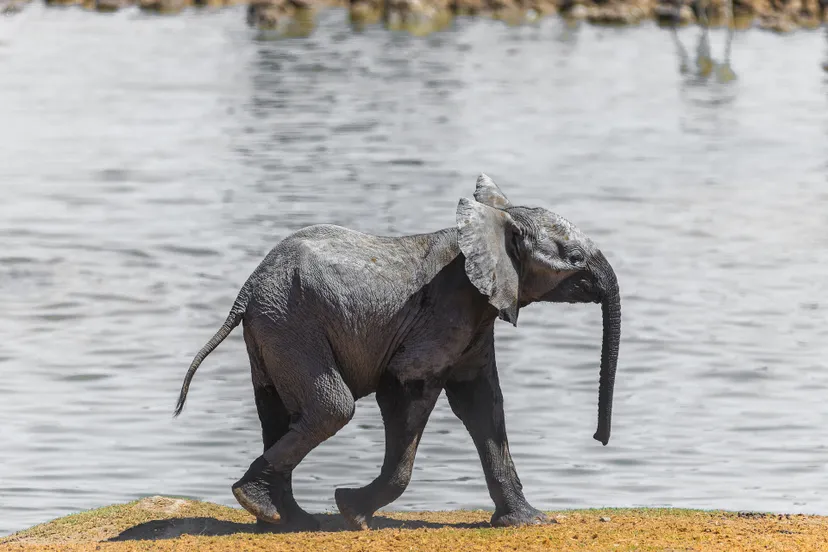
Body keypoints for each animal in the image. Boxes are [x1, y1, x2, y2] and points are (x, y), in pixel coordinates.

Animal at [174, 174, 621, 531]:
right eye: (574, 259)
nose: (599, 439)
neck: (491, 223)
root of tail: (248, 288)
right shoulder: (446, 310)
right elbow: (405, 391)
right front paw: (351, 511)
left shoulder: (476, 319)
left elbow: (481, 403)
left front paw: (529, 522)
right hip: (291, 321)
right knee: (332, 408)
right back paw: (265, 505)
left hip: (273, 325)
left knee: (278, 411)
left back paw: (284, 519)